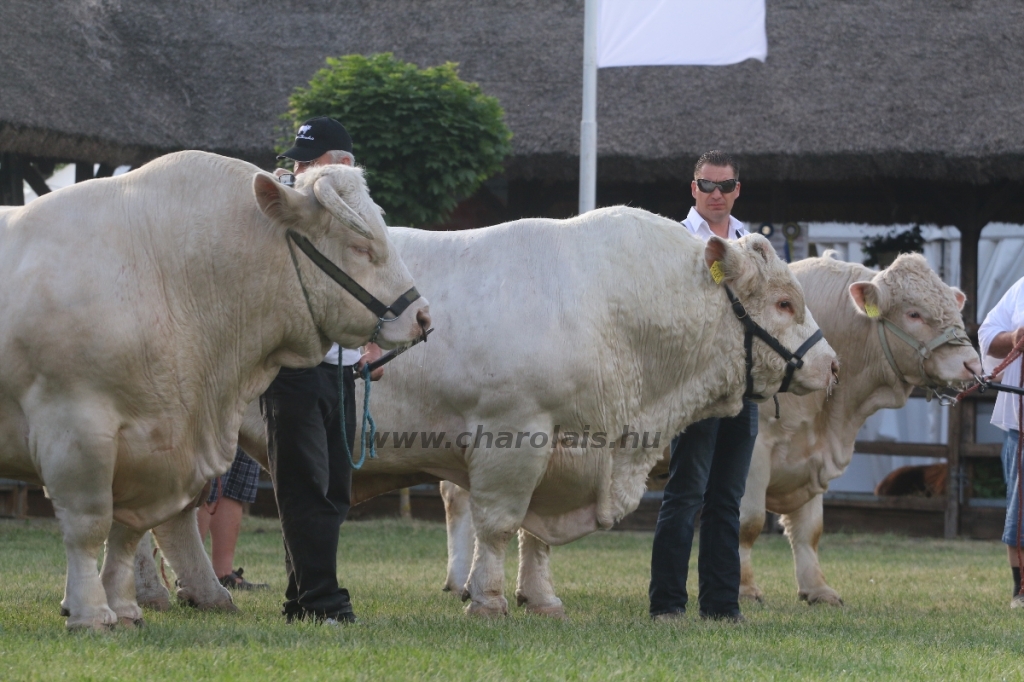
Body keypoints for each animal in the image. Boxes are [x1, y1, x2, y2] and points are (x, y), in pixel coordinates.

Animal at [0, 150, 428, 626]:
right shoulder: (75, 426)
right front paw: (93, 613)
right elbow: (89, 525)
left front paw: (125, 608)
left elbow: (128, 530)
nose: (422, 316)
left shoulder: (152, 449)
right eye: (359, 247)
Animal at [737, 251, 974, 602]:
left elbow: (810, 530)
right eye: (914, 313)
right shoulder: (755, 450)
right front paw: (744, 587)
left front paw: (817, 589)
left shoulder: (811, 452)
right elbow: (748, 521)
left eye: (954, 309)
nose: (971, 362)